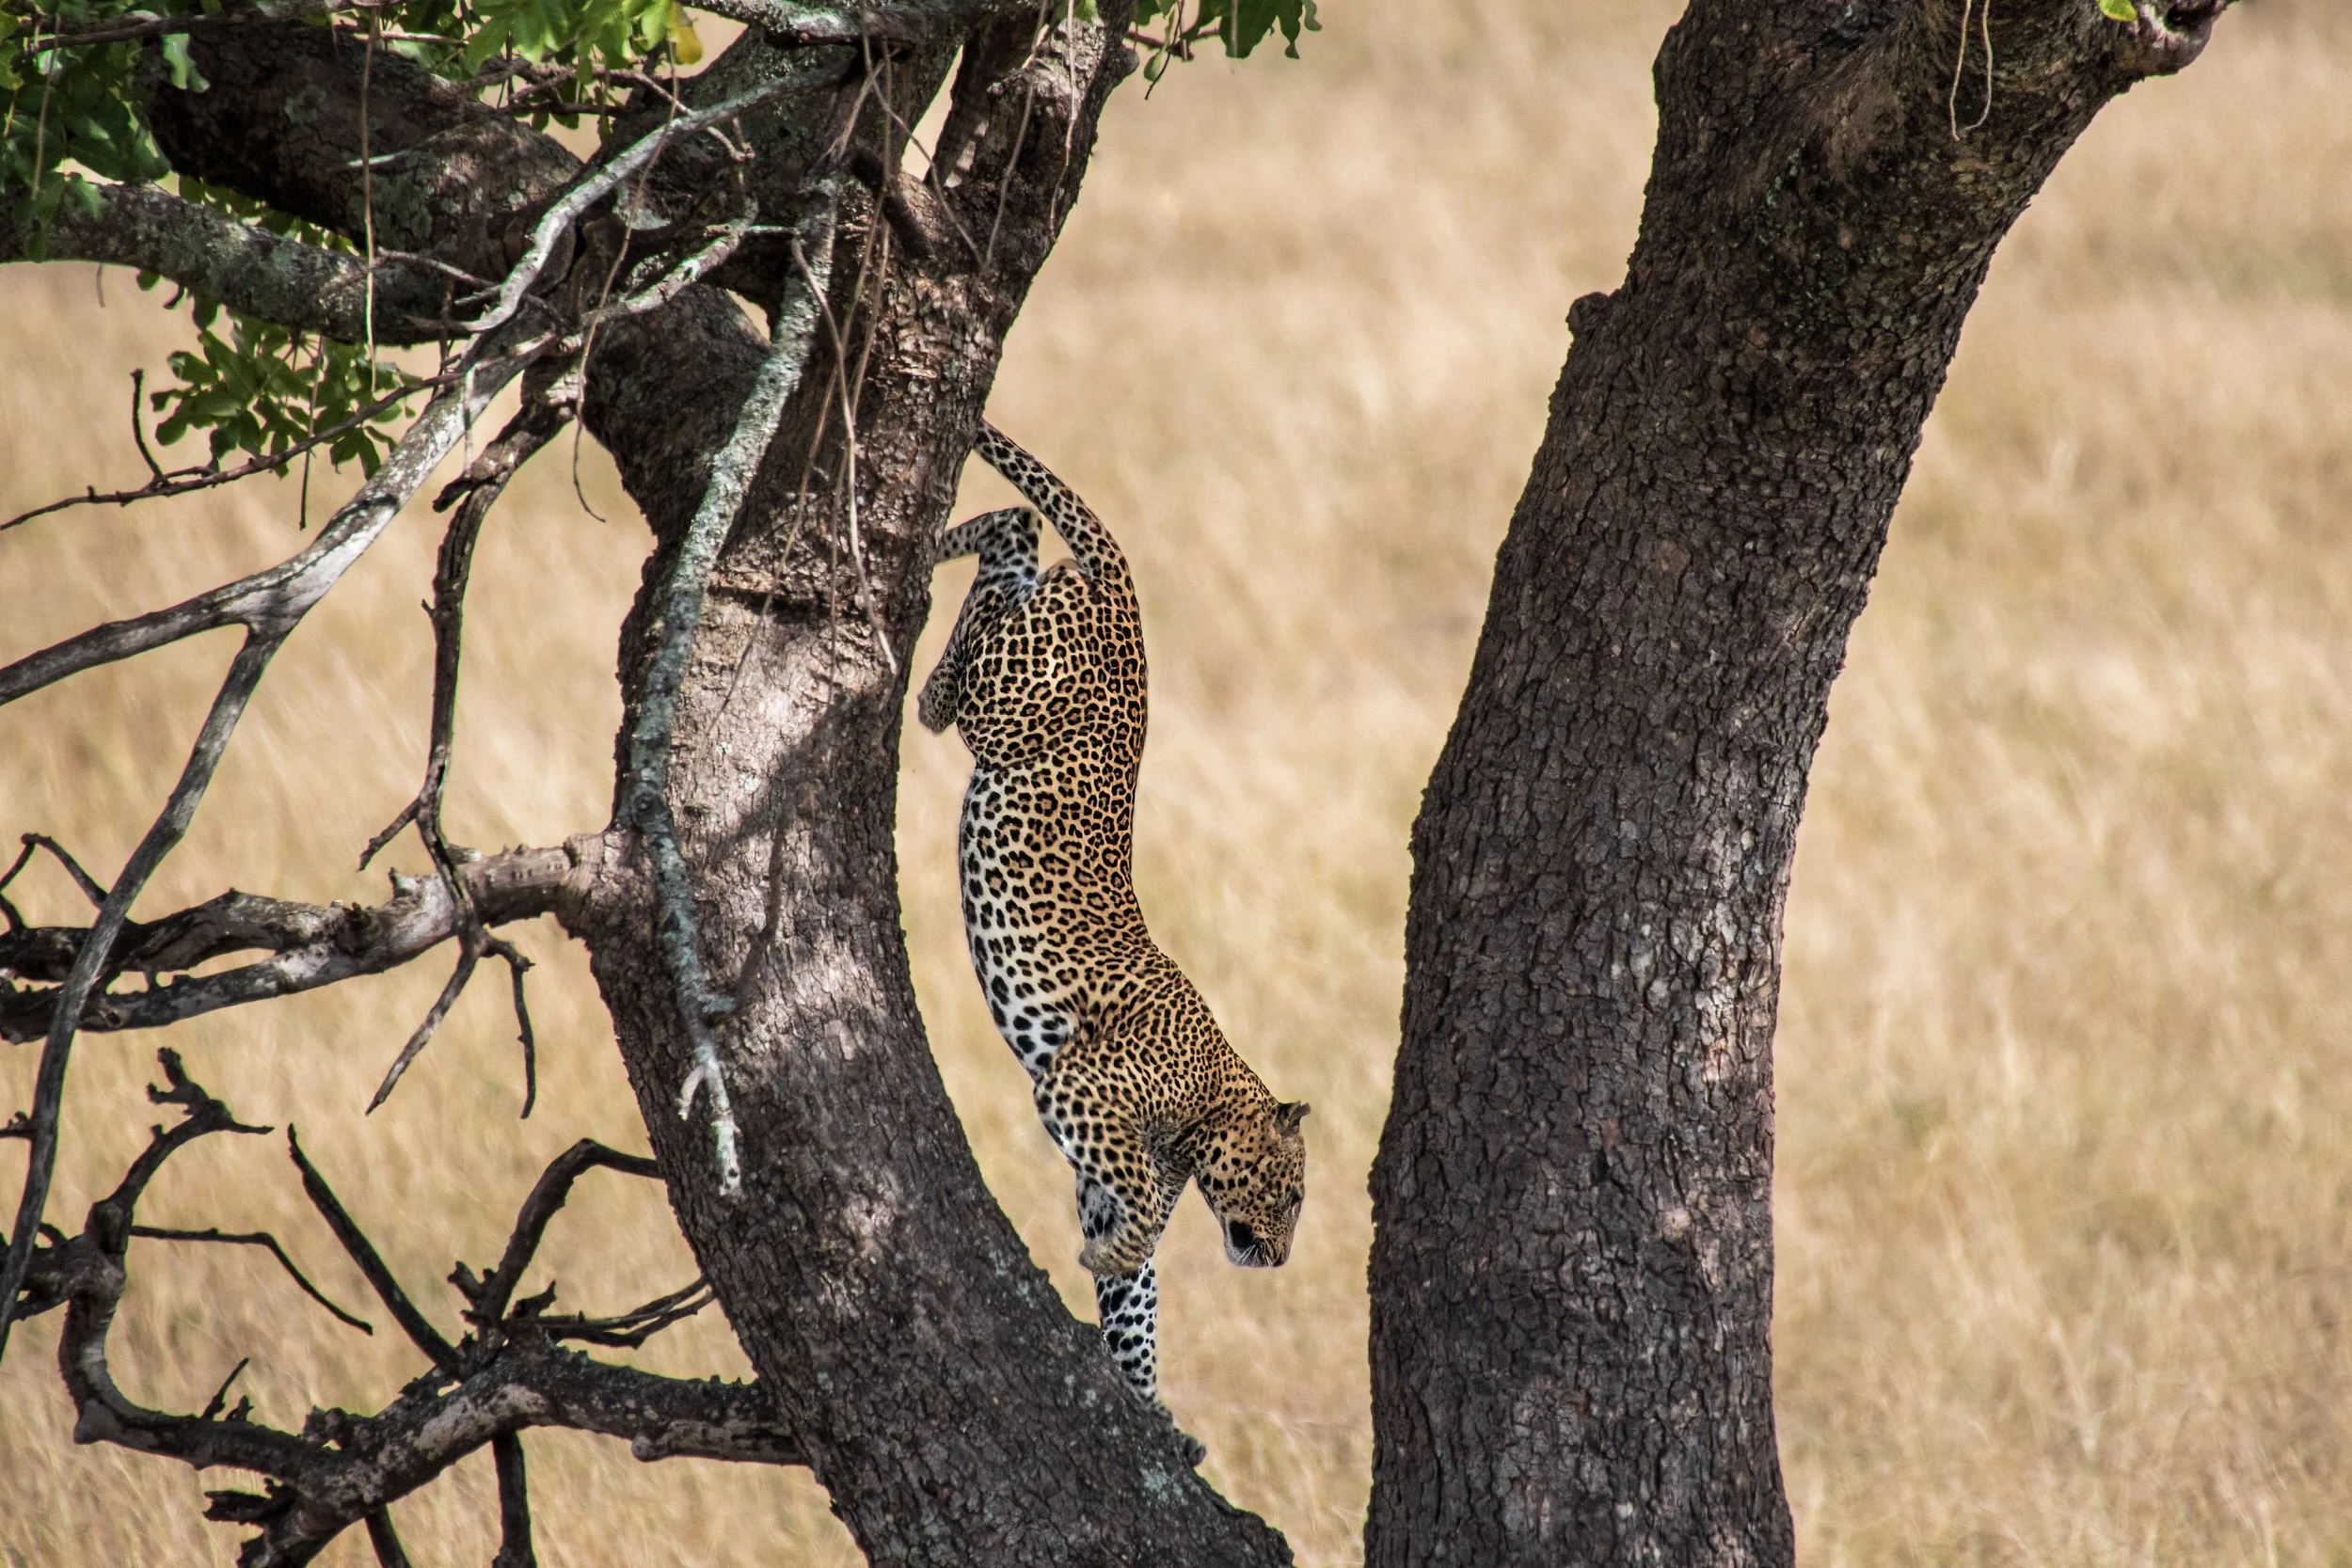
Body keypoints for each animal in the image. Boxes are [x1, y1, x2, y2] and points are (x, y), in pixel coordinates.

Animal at [919, 419, 1309, 1418]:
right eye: (1292, 1194)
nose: (1279, 1257)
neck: (1216, 1099)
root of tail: (1131, 602)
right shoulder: (1076, 1084)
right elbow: (1132, 1212)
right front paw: (1099, 1256)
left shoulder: (1105, 1165)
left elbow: (1136, 1298)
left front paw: (1147, 1396)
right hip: (1013, 694)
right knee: (991, 608)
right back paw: (927, 671)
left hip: (1031, 629)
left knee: (1017, 533)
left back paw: (935, 548)